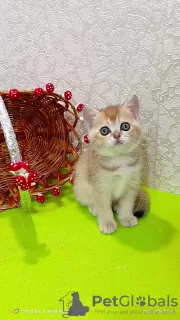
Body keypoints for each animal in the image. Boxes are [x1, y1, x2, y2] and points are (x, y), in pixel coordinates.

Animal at [73, 96, 148, 234]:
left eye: (125, 126)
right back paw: (94, 208)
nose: (117, 135)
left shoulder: (132, 184)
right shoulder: (100, 187)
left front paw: (126, 217)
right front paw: (107, 223)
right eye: (104, 130)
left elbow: (127, 203)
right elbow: (103, 207)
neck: (119, 160)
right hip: (81, 187)